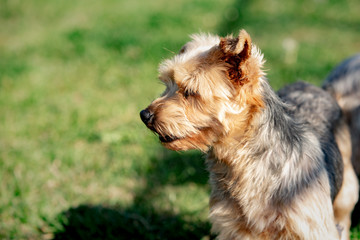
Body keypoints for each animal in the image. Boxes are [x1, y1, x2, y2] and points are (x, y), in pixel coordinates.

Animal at [140, 30, 358, 240]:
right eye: (167, 84)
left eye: (190, 92)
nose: (144, 115)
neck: (242, 160)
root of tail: (319, 88)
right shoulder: (234, 228)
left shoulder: (310, 227)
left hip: (346, 189)